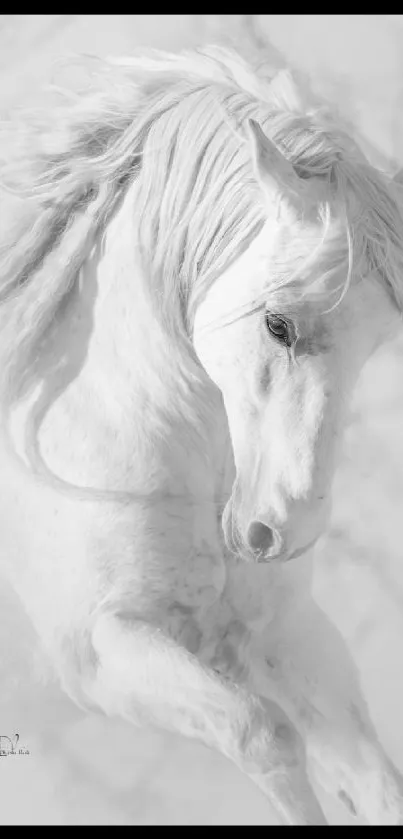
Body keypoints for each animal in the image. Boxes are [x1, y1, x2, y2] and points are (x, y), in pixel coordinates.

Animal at [0, 47, 403, 828]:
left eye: (375, 345)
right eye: (276, 323)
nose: (282, 531)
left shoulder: (280, 630)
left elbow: (369, 778)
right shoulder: (101, 654)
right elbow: (263, 735)